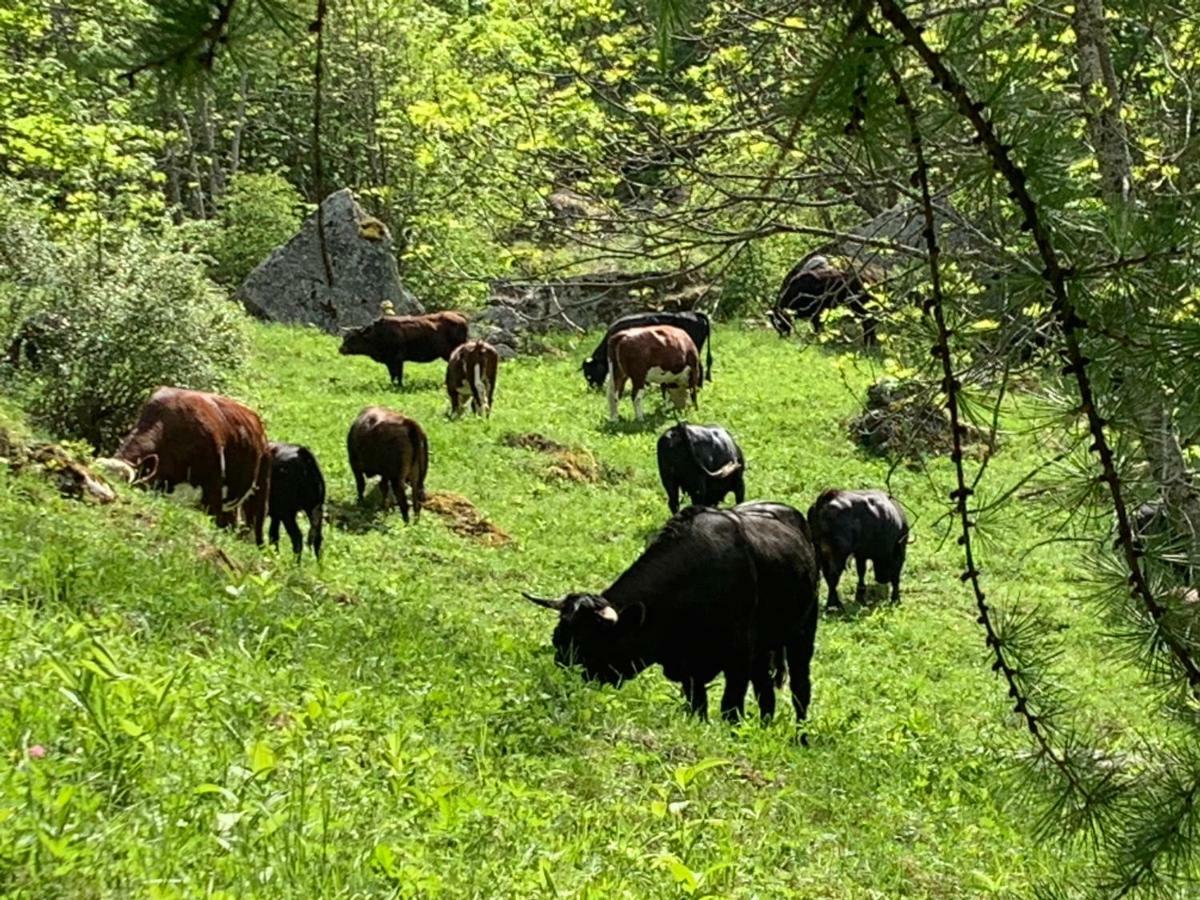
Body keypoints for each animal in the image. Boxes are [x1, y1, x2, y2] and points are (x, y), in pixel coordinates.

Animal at [340, 309, 470, 388]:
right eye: (344, 337)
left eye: (352, 337)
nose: (341, 349)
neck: (377, 334)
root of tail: (459, 316)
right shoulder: (390, 361)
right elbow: (393, 376)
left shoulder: (397, 359)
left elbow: (398, 375)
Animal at [520, 504, 820, 729]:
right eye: (558, 640)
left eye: (590, 646)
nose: (564, 687)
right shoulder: (691, 670)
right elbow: (698, 707)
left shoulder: (738, 659)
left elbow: (730, 709)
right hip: (764, 650)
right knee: (766, 694)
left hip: (802, 634)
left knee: (800, 691)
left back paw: (801, 737)